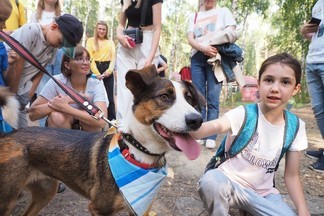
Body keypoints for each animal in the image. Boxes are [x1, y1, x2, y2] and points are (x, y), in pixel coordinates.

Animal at [0, 64, 205, 216]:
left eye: (189, 99)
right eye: (164, 96)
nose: (197, 120)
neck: (136, 153)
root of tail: (10, 134)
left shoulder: (141, 208)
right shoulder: (99, 209)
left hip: (45, 190)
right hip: (7, 200)